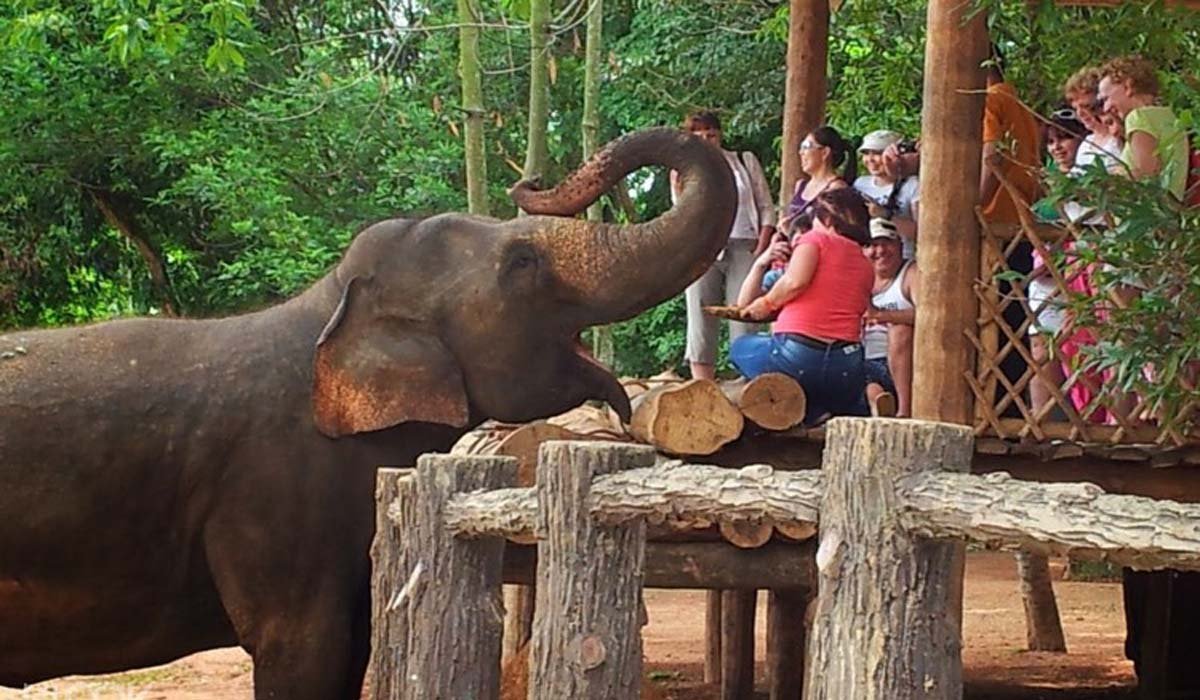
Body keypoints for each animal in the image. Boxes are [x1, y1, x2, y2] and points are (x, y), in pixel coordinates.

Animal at [0, 127, 735, 699]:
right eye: (523, 262)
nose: (529, 181)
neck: (330, 304)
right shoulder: (271, 495)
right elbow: (300, 652)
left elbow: (352, 650)